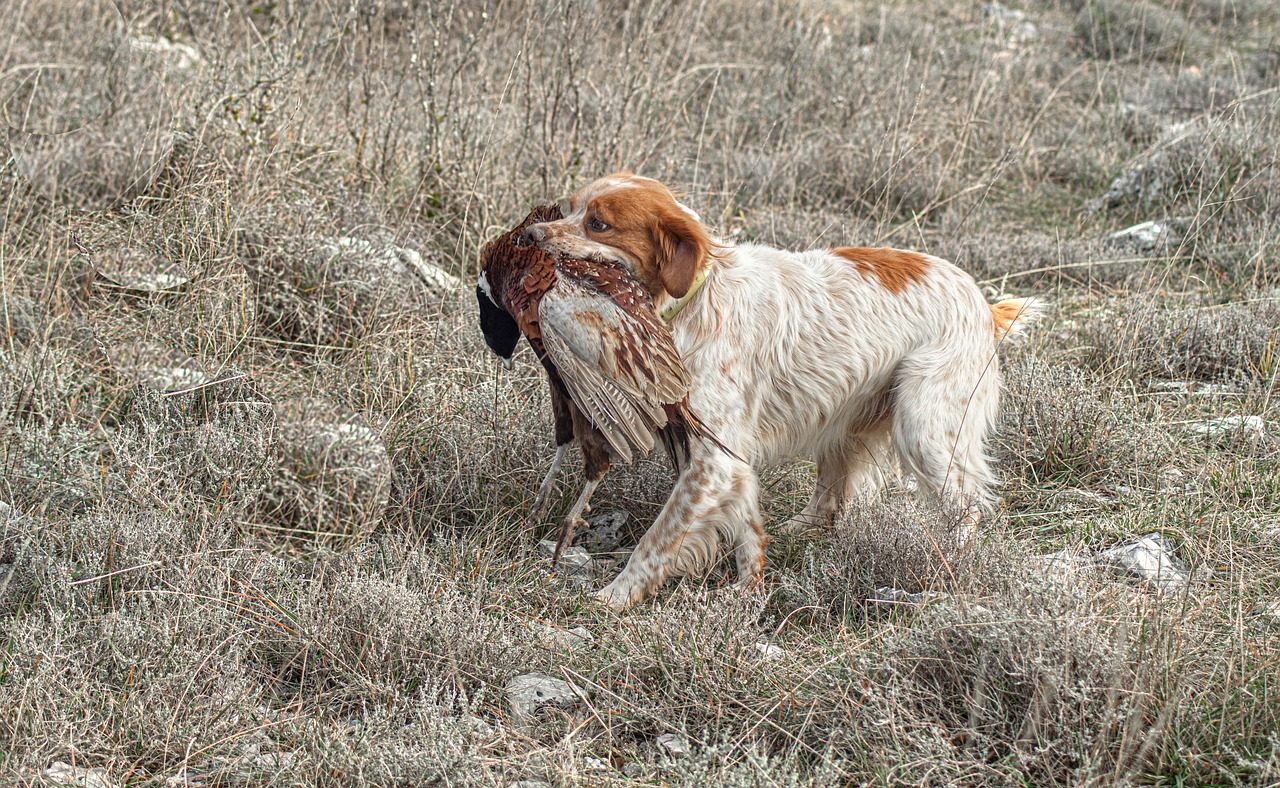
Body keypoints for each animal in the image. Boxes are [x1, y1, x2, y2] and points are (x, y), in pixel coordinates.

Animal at [514, 172, 1034, 608]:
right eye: (568, 208)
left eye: (598, 224)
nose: (531, 236)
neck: (695, 300)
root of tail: (982, 302)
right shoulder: (724, 458)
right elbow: (747, 528)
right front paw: (747, 591)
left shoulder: (714, 460)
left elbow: (658, 540)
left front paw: (614, 597)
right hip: (847, 421)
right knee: (831, 493)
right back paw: (800, 529)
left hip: (925, 427)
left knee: (966, 507)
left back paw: (952, 567)